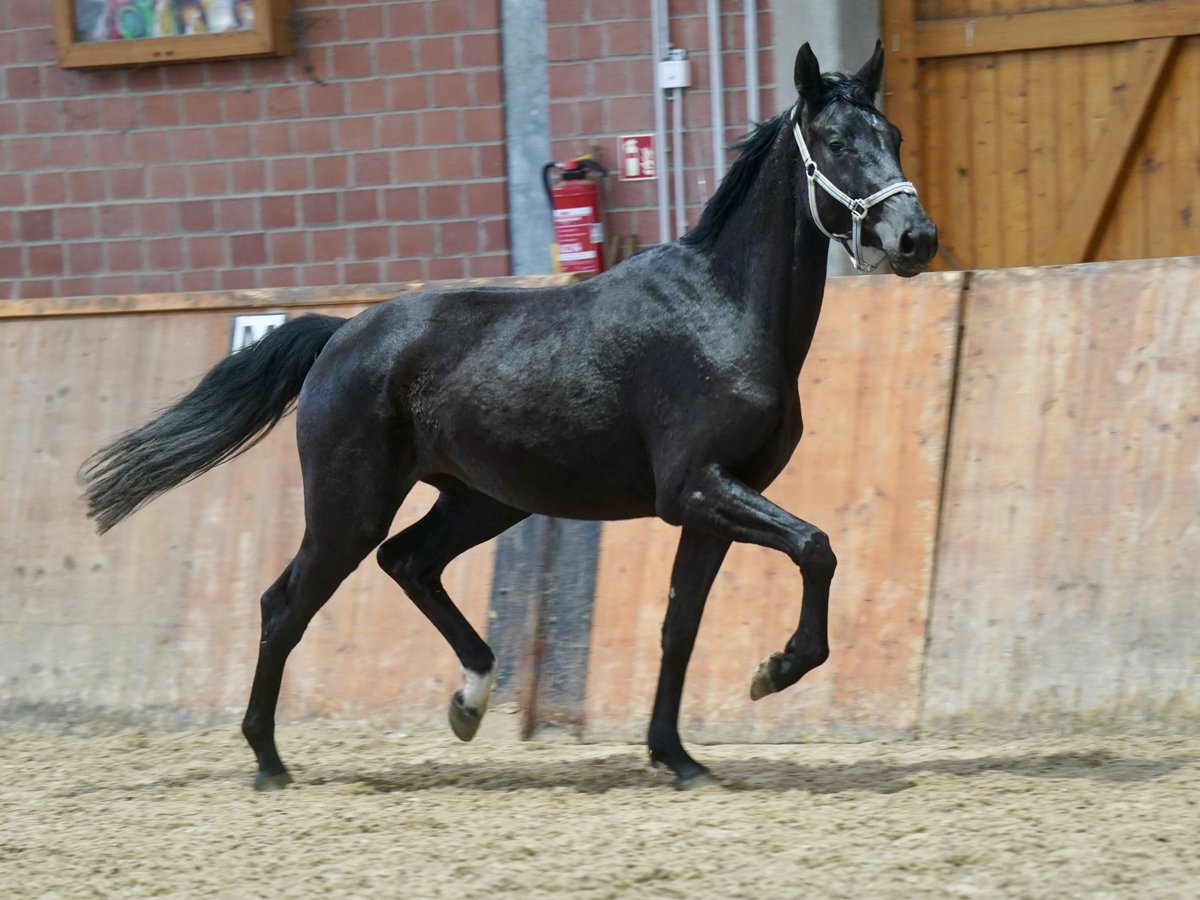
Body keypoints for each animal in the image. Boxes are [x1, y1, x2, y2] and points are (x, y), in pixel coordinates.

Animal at [79, 44, 936, 787]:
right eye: (834, 141)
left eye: (893, 135)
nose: (916, 238)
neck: (723, 312)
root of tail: (342, 335)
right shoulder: (695, 489)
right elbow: (816, 548)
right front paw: (774, 671)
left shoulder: (715, 502)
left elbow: (679, 623)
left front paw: (677, 757)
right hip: (350, 507)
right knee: (286, 604)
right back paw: (269, 761)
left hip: (483, 500)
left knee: (408, 562)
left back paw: (470, 699)